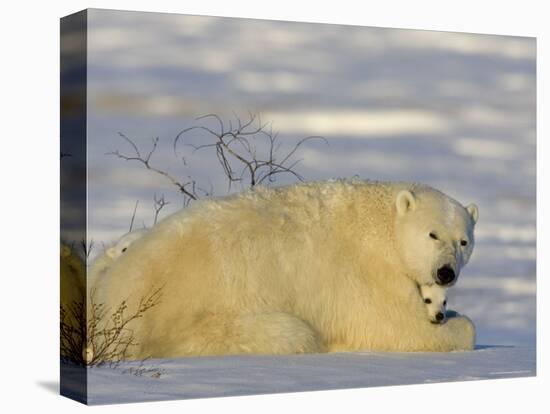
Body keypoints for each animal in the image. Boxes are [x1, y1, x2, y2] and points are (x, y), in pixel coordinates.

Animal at [94, 180, 478, 358]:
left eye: (463, 241)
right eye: (432, 234)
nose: (445, 272)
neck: (383, 225)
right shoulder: (369, 275)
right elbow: (397, 327)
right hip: (200, 322)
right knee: (293, 333)